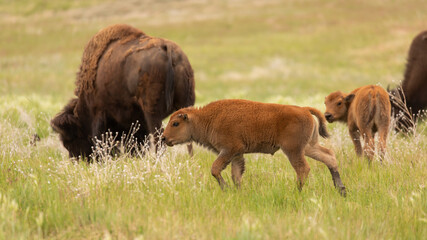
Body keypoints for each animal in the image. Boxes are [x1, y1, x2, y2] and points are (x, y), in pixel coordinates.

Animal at [51, 24, 196, 158]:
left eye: (70, 140)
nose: (78, 159)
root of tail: (167, 49)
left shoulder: (99, 112)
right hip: (184, 105)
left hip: (152, 112)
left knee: (159, 139)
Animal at [162, 98, 346, 196]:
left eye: (175, 123)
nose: (164, 138)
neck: (206, 119)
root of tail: (304, 109)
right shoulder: (237, 154)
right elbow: (236, 174)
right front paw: (238, 192)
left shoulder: (229, 150)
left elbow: (215, 169)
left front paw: (226, 189)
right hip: (308, 147)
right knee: (329, 157)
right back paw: (341, 190)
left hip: (293, 150)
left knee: (303, 169)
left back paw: (296, 192)